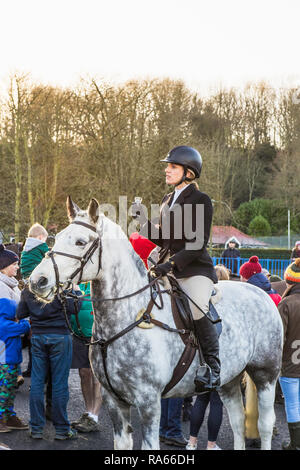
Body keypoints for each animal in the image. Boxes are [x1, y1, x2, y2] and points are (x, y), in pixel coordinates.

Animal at [29, 198, 284, 452]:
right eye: (57, 237)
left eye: (81, 242)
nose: (37, 281)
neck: (128, 318)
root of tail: (260, 293)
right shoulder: (114, 401)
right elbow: (122, 443)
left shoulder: (149, 402)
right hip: (228, 380)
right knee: (237, 421)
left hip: (265, 374)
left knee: (264, 424)